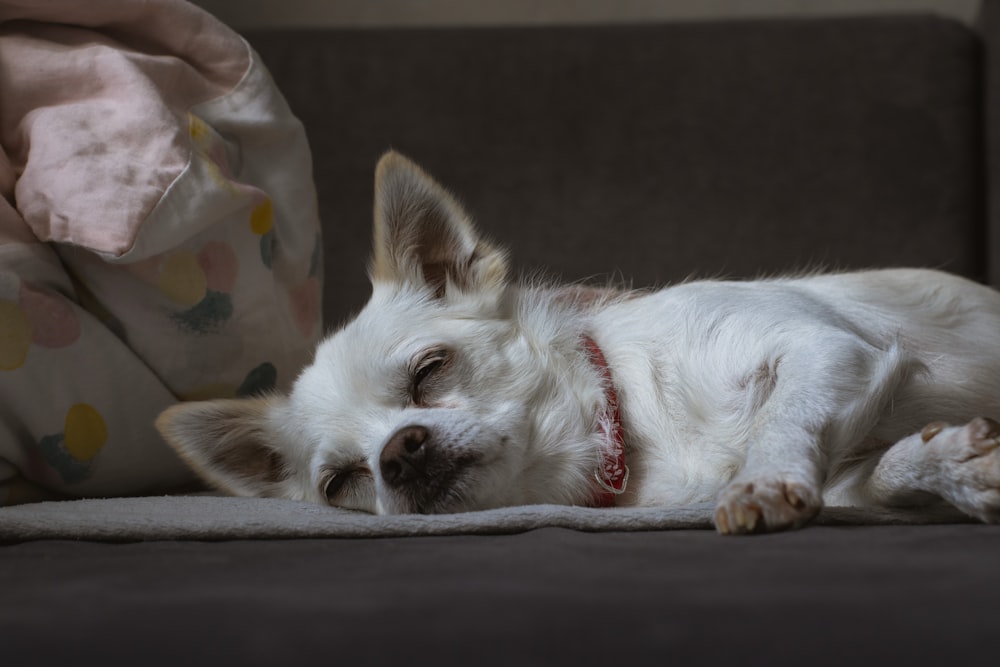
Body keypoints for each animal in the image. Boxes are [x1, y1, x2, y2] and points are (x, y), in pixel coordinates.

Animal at [156, 154, 1000, 536]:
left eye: (428, 372)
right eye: (340, 482)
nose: (397, 454)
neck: (640, 428)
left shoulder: (826, 349)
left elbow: (781, 419)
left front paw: (761, 481)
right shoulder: (846, 436)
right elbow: (876, 476)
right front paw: (956, 461)